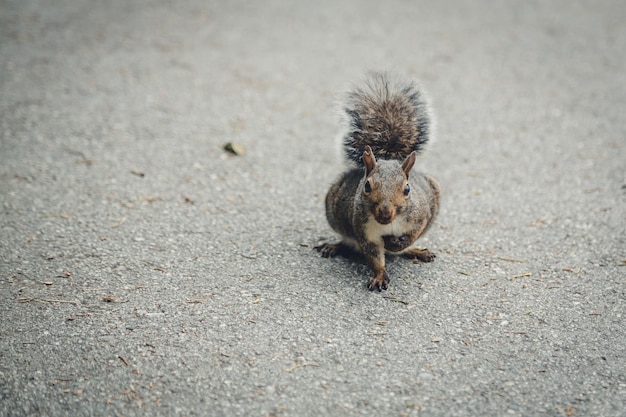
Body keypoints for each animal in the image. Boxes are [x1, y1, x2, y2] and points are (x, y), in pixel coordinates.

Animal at [312, 71, 438, 290]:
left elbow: (413, 234)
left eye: (407, 189)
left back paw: (418, 251)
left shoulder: (420, 216)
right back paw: (332, 246)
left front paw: (401, 244)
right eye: (367, 185)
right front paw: (379, 276)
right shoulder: (365, 232)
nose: (385, 212)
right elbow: (374, 257)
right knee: (346, 241)